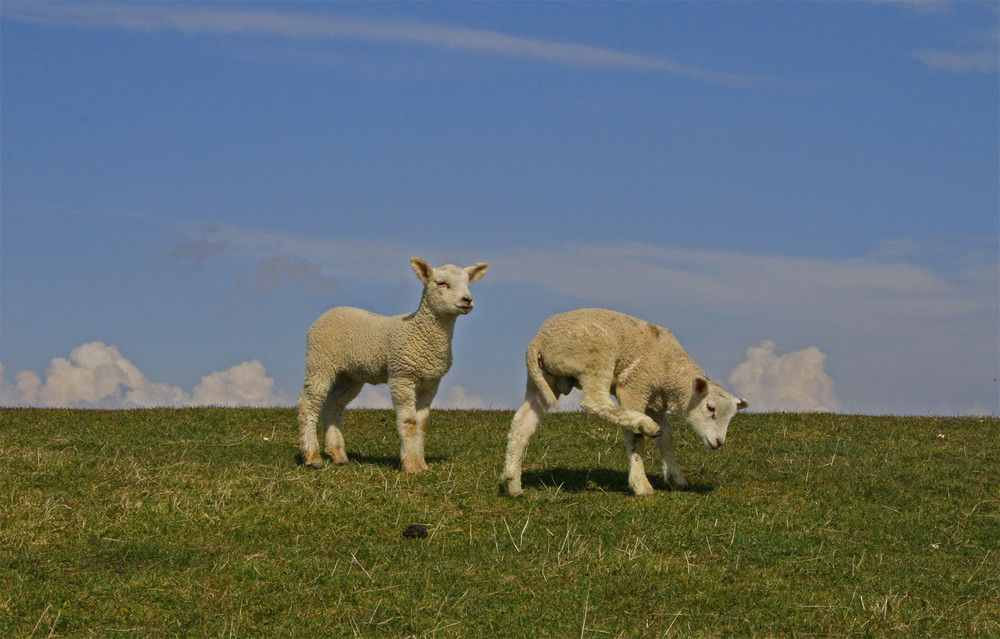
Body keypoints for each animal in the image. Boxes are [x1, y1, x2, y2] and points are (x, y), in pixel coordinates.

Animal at [296, 258, 488, 472]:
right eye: (441, 283)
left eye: (468, 283)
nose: (467, 300)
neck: (420, 332)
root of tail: (327, 313)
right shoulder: (402, 375)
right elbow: (409, 421)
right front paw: (411, 466)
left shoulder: (430, 382)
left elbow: (421, 423)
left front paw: (422, 464)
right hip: (320, 360)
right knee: (308, 404)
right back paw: (312, 457)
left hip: (350, 375)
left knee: (333, 405)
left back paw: (337, 454)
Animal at [504, 310, 748, 500]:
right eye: (711, 408)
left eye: (731, 416)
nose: (719, 442)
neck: (669, 370)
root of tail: (537, 341)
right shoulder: (634, 389)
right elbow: (635, 439)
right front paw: (641, 484)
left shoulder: (655, 403)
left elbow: (667, 437)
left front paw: (675, 478)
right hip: (595, 357)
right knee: (594, 401)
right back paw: (643, 424)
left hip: (544, 379)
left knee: (522, 422)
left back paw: (512, 482)